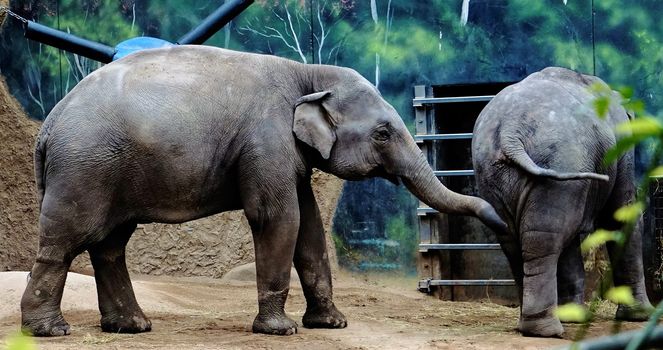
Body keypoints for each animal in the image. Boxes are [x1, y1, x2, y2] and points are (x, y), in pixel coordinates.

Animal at [20, 45, 508, 338]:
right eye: (384, 134)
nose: (502, 222)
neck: (307, 72)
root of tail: (48, 126)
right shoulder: (265, 139)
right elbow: (279, 218)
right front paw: (281, 329)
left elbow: (310, 226)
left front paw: (332, 324)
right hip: (84, 168)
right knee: (66, 241)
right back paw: (50, 332)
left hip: (108, 169)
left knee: (110, 243)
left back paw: (133, 327)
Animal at [472, 67, 652, 338]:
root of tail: (510, 132)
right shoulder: (622, 147)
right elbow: (620, 216)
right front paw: (642, 316)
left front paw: (575, 317)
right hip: (560, 163)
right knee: (544, 239)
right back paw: (546, 330)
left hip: (494, 174)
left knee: (516, 241)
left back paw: (531, 324)